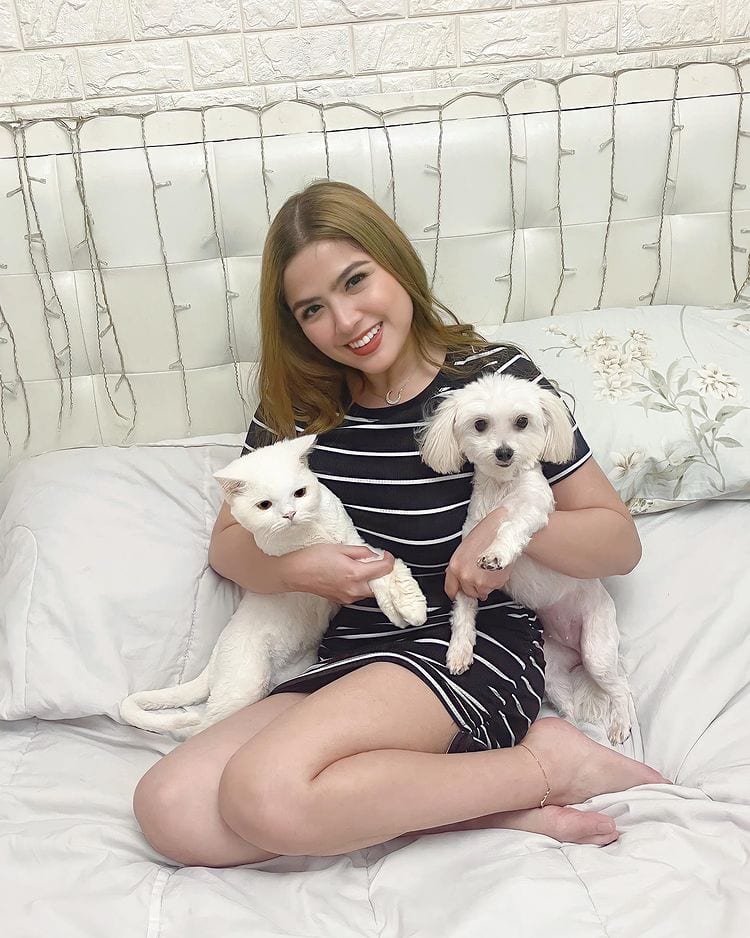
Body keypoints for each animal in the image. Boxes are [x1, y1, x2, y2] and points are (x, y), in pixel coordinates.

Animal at [120, 434, 428, 736]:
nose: (290, 514)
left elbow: (389, 569)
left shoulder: (355, 544)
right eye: (265, 505)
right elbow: (373, 572)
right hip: (245, 686)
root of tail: (214, 659)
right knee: (201, 726)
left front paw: (408, 605)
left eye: (299, 493)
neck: (314, 529)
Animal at [419, 371, 632, 745]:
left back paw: (620, 723)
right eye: (480, 424)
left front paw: (497, 553)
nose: (504, 452)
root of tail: (574, 652)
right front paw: (460, 649)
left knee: (621, 686)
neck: (502, 489)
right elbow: (463, 613)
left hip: (598, 649)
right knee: (569, 706)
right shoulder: (465, 559)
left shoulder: (534, 508)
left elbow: (512, 525)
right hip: (553, 671)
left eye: (522, 421)